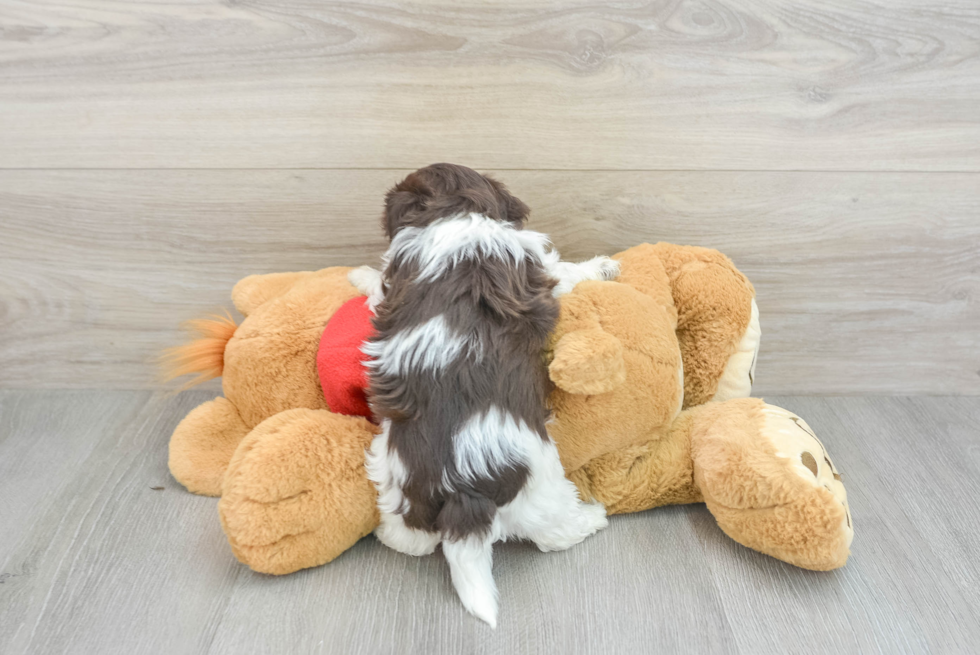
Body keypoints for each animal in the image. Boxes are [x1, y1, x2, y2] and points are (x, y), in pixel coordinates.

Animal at [348, 163, 616, 624]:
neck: (453, 212)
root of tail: (462, 491)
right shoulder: (535, 263)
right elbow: (568, 271)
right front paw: (603, 267)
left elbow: (380, 283)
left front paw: (358, 275)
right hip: (541, 484)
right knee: (554, 533)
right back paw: (592, 517)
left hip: (391, 472)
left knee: (413, 539)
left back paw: (389, 534)